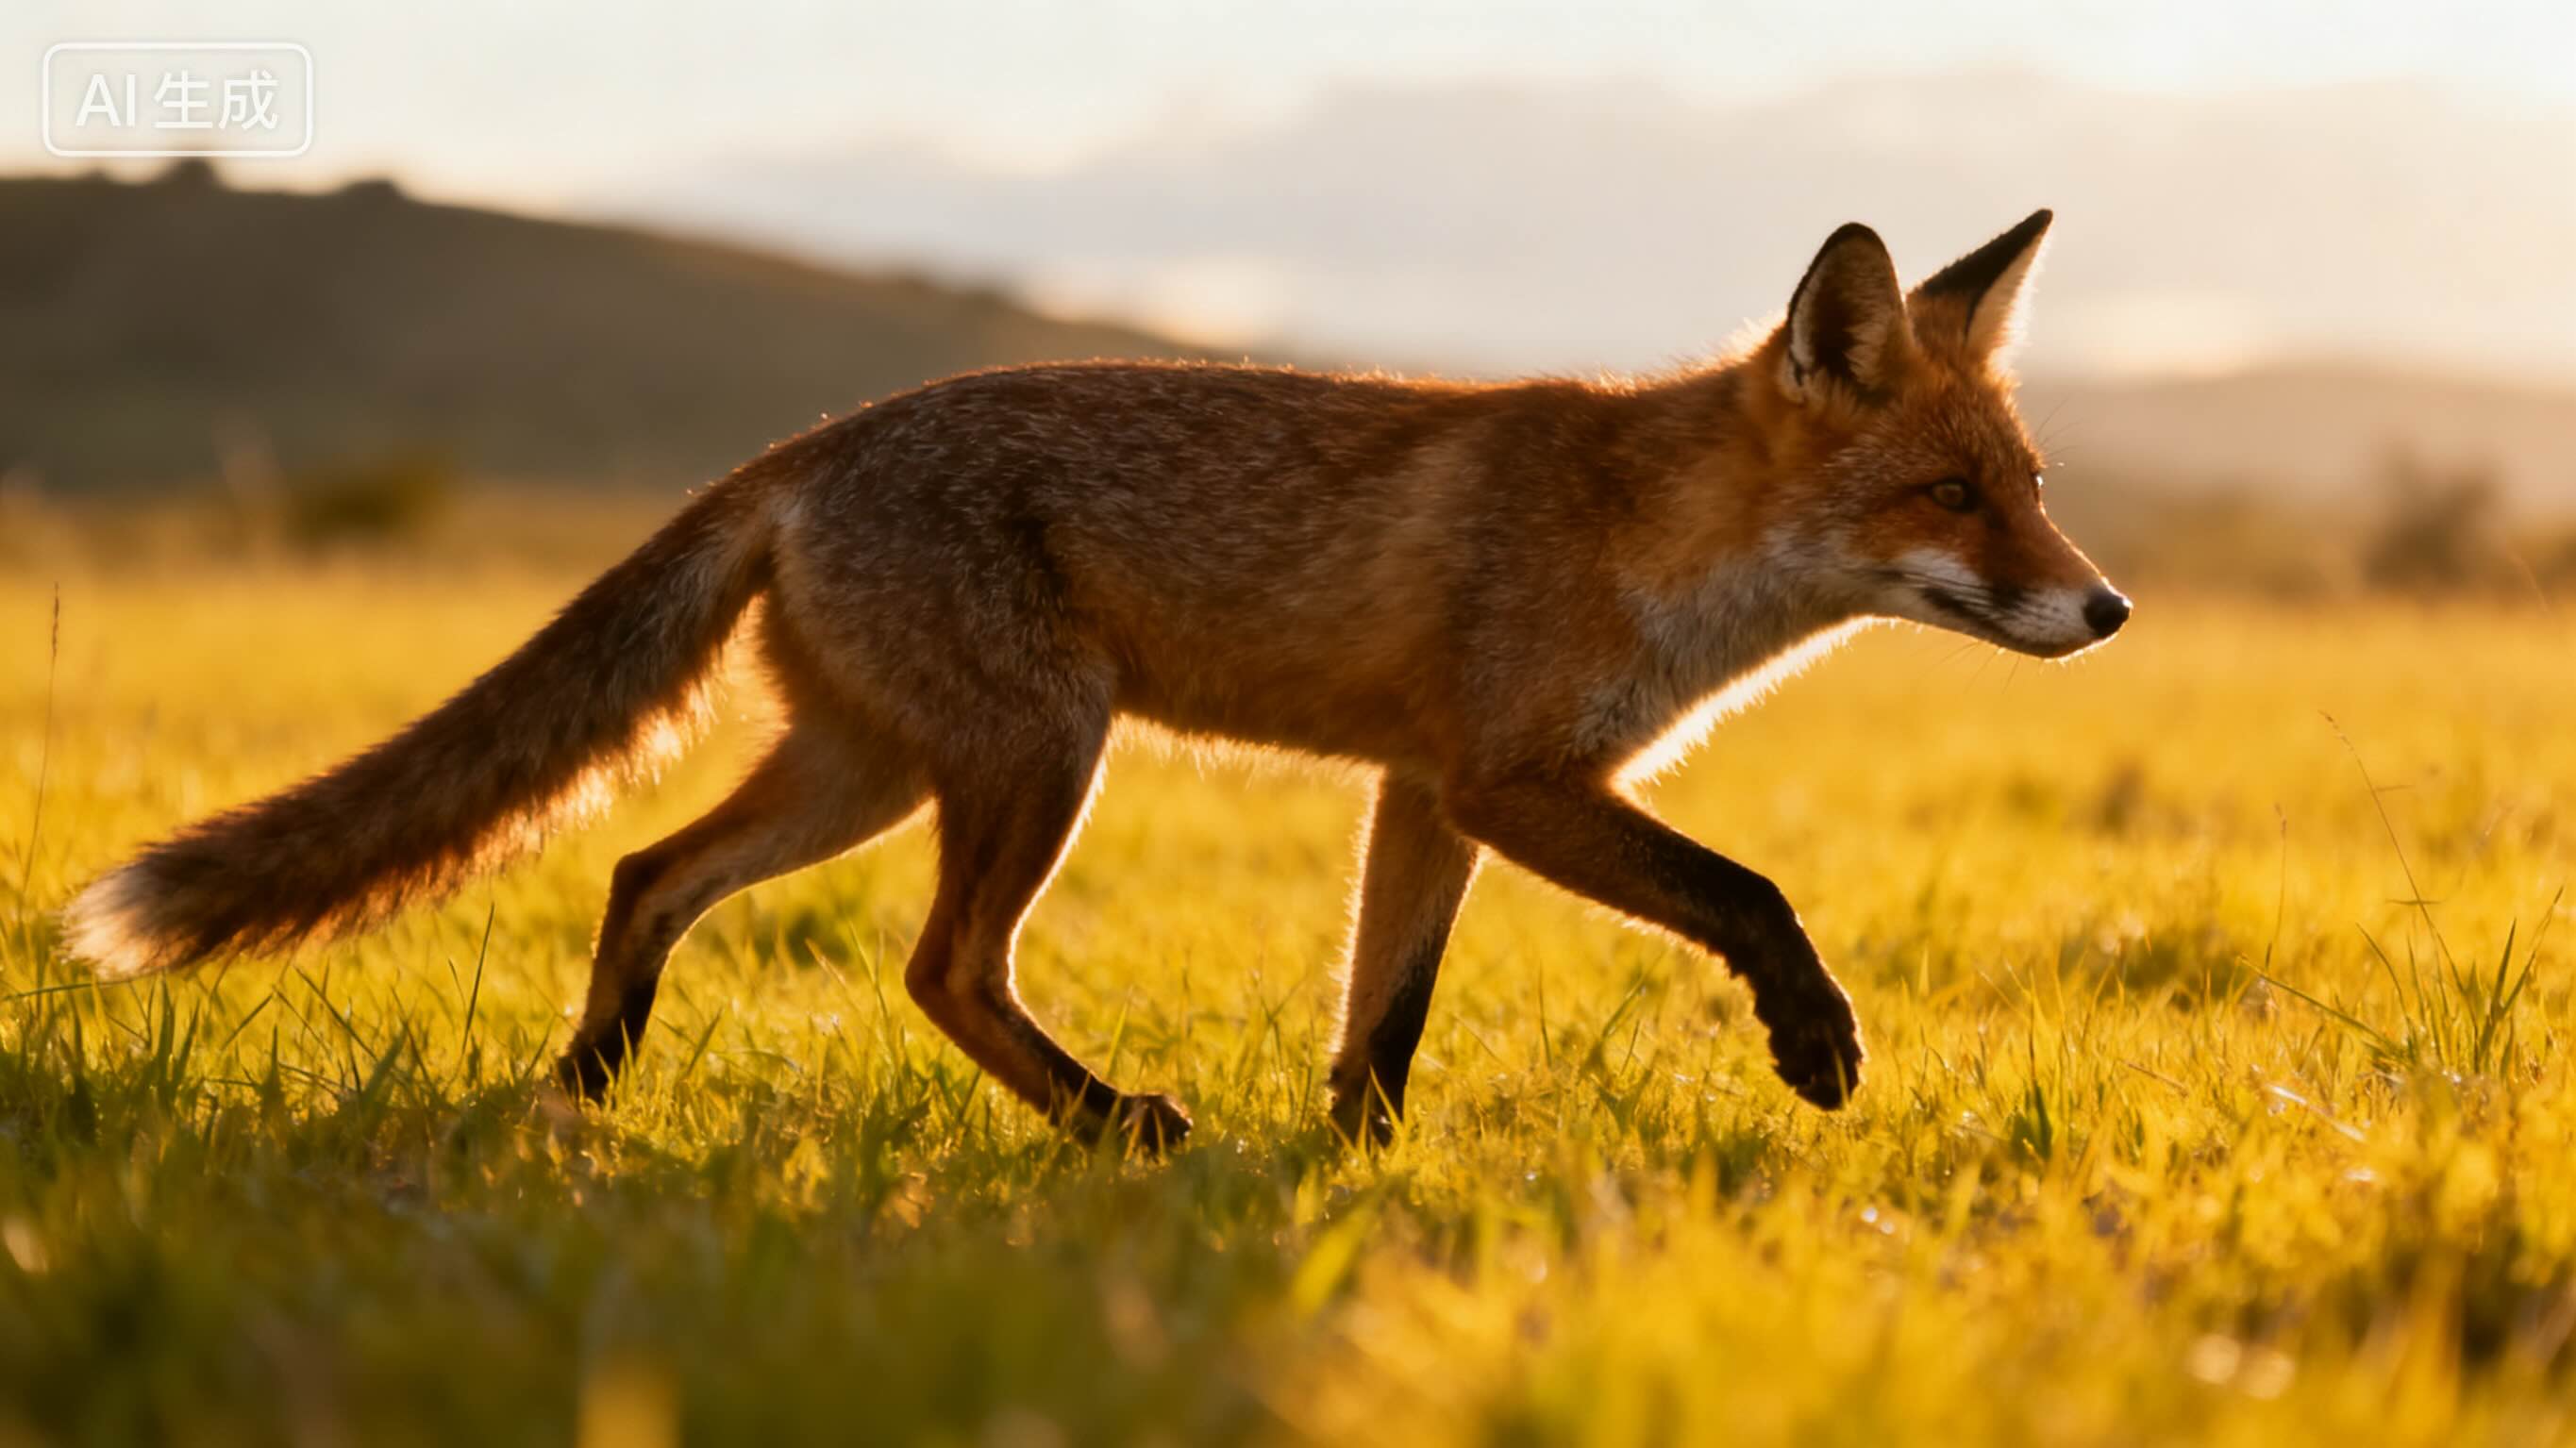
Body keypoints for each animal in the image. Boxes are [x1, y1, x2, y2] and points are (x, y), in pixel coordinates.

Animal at [64, 209, 2126, 1150]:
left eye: (2032, 483)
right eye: (1955, 496)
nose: (2105, 608)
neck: (1650, 539)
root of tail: (812, 443)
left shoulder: (1424, 795)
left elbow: (1382, 1017)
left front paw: (1359, 1173)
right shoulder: (1512, 779)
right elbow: (1752, 889)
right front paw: (1818, 1040)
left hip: (867, 770)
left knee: (646, 872)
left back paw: (583, 1091)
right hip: (1035, 758)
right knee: (938, 967)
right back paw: (1103, 1120)